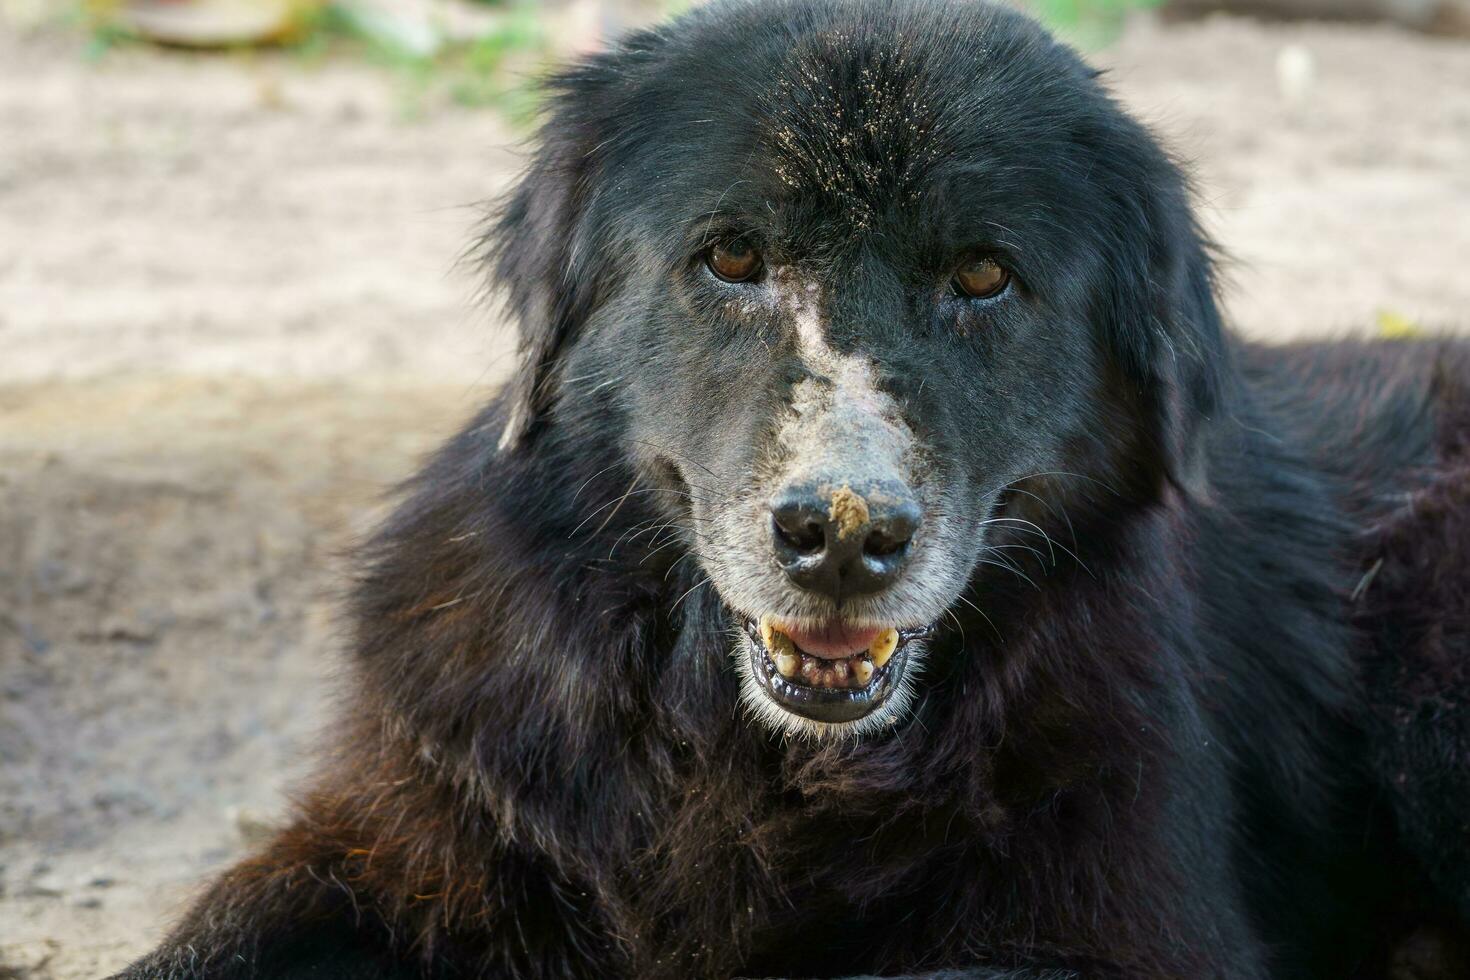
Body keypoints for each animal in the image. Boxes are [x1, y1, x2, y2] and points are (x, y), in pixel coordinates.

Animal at [117, 1, 1470, 980]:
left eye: (985, 275)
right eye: (731, 257)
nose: (841, 537)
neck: (745, 758)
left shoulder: (1117, 928)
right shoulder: (408, 836)